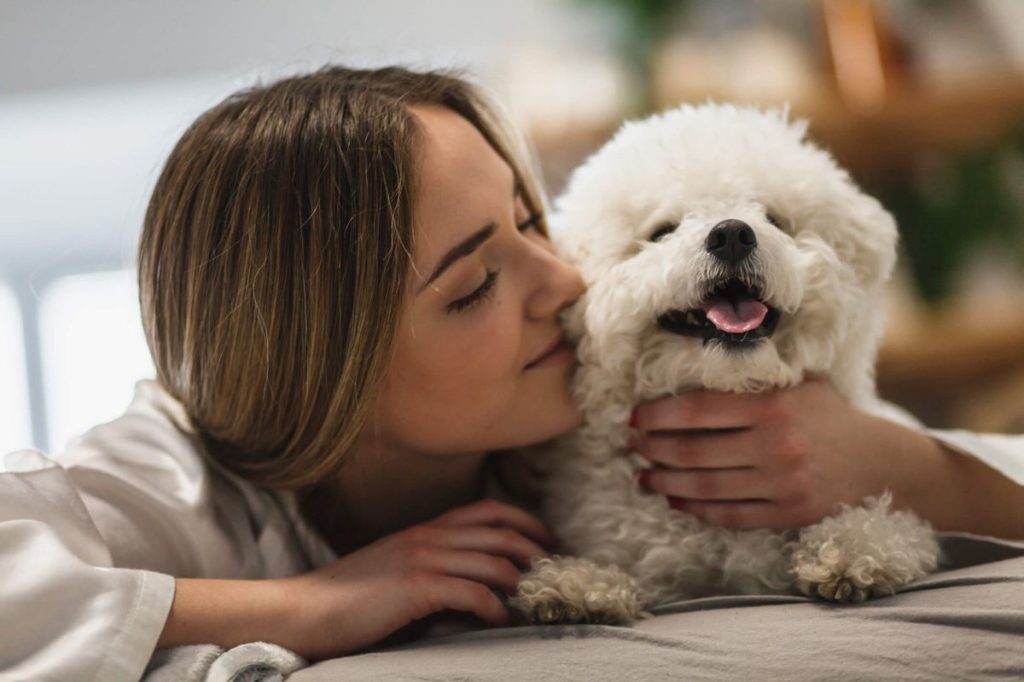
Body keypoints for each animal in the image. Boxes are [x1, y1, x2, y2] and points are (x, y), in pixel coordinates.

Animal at [512, 103, 942, 622]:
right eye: (662, 231)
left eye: (774, 218)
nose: (733, 234)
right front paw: (578, 586)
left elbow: (895, 529)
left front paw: (852, 551)